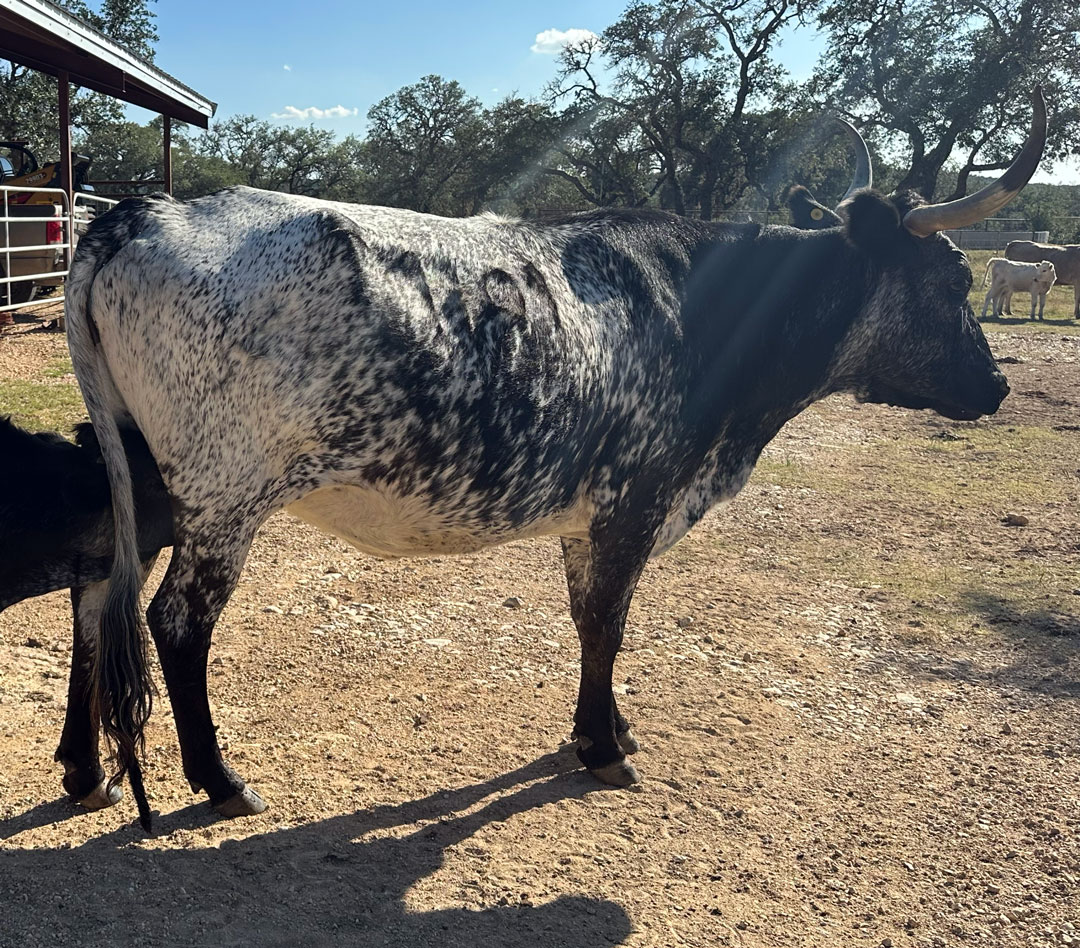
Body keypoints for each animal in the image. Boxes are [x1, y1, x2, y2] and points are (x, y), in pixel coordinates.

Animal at [0, 89, 1045, 829]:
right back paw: (220, 780)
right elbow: (609, 624)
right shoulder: (637, 496)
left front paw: (606, 728)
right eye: (952, 277)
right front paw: (603, 748)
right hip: (225, 492)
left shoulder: (594, 513)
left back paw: (85, 770)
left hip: (140, 473)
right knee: (177, 622)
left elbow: (588, 619)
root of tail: (139, 216)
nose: (995, 387)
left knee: (96, 589)